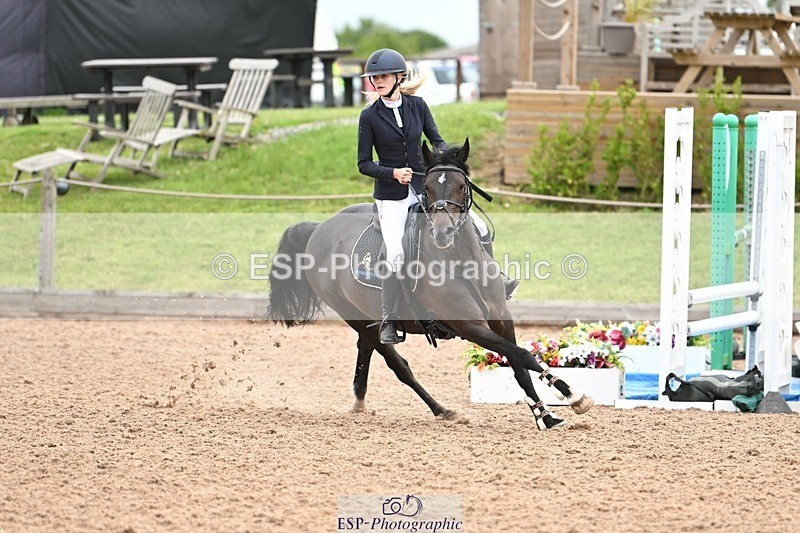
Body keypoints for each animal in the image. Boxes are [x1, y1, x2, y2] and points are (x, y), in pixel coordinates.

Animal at [267, 139, 593, 430]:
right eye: (427, 188)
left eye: (461, 186)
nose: (443, 233)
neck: (461, 262)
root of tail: (319, 229)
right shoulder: (470, 326)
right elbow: (522, 355)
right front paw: (573, 395)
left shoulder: (501, 318)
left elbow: (519, 363)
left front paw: (546, 415)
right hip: (355, 316)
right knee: (398, 365)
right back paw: (441, 410)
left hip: (367, 318)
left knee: (368, 348)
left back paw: (362, 401)